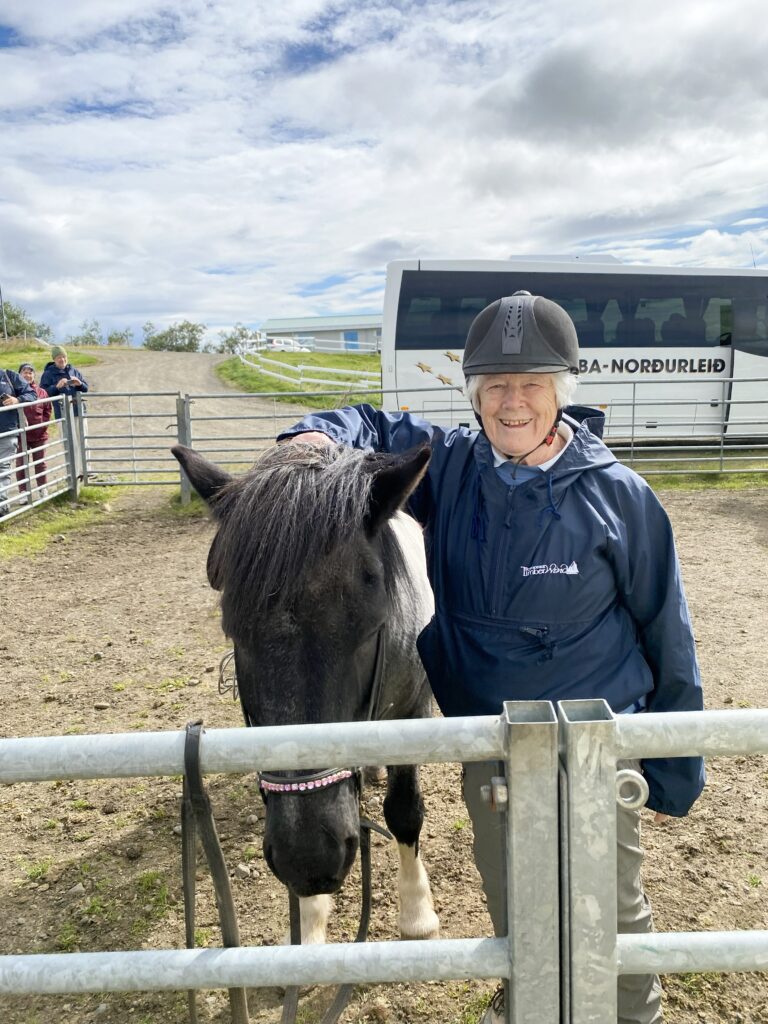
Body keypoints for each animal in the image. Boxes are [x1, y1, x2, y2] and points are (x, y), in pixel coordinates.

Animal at [172, 440, 440, 945]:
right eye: (234, 632)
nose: (310, 858)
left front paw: (417, 913)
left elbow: (404, 811)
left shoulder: (413, 711)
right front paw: (310, 924)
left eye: (370, 627)